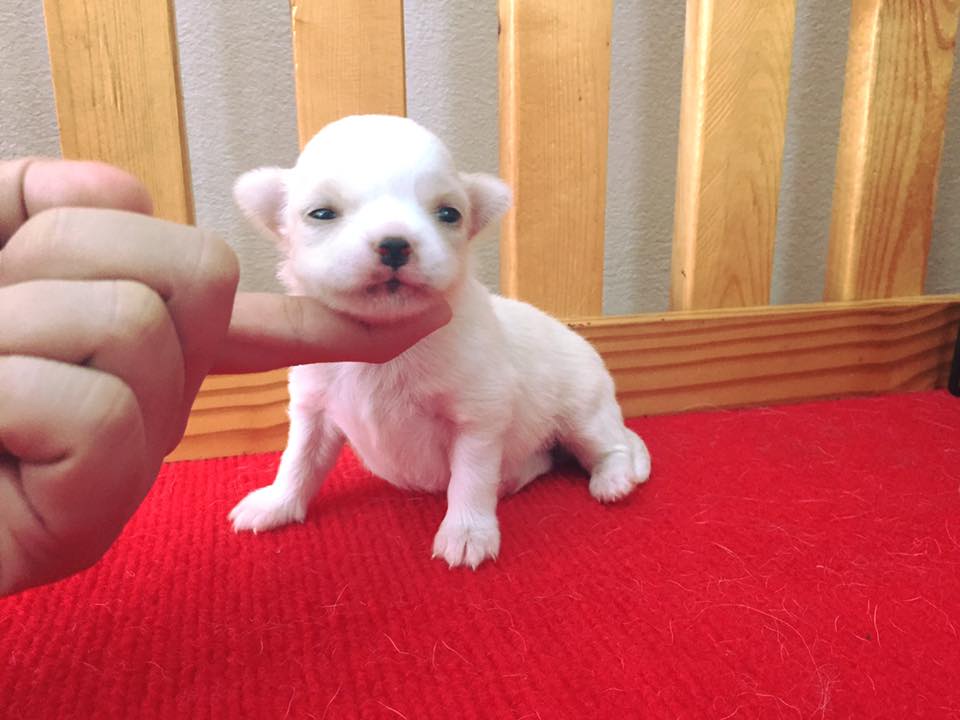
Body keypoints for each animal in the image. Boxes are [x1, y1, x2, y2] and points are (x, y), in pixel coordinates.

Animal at [228, 115, 650, 568]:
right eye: (321, 213)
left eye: (449, 213)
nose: (395, 244)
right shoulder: (314, 410)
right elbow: (299, 461)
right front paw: (276, 503)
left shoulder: (478, 420)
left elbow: (471, 479)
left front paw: (467, 532)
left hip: (583, 413)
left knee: (611, 446)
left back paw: (612, 480)